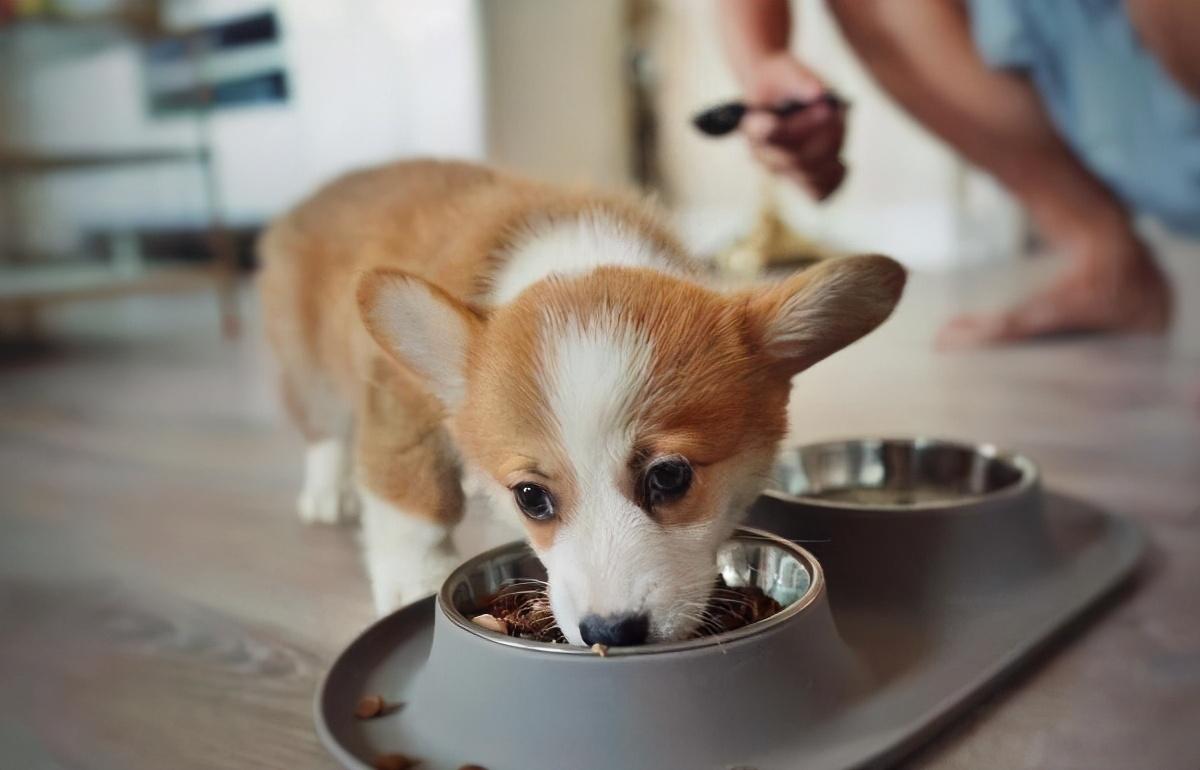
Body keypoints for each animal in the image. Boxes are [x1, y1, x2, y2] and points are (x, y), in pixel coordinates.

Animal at [258, 158, 902, 642]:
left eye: (671, 477)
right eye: (529, 497)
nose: (610, 634)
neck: (577, 257)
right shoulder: (403, 402)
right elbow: (413, 496)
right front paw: (414, 579)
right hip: (312, 372)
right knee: (322, 430)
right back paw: (327, 492)